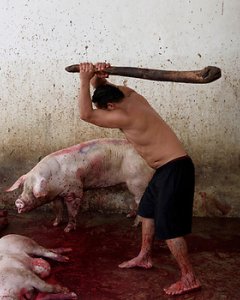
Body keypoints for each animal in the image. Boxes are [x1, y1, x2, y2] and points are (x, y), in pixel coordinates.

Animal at [7, 138, 155, 232]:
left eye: (33, 191)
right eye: (24, 187)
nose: (18, 202)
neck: (52, 181)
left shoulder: (74, 190)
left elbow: (72, 210)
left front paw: (67, 230)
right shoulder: (57, 195)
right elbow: (58, 208)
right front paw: (55, 224)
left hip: (138, 182)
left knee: (140, 202)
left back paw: (134, 225)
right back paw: (128, 216)